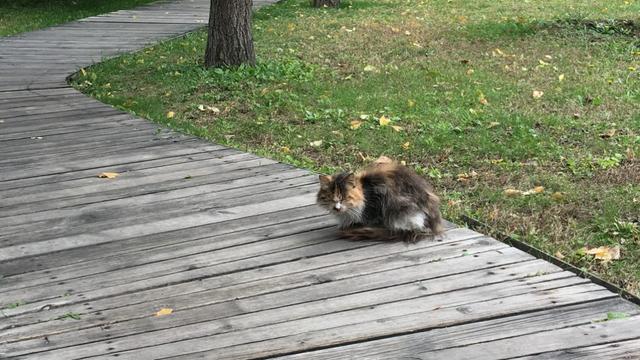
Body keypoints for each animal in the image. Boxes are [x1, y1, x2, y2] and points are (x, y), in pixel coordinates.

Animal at [316, 157, 444, 243]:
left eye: (345, 198)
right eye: (330, 198)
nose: (336, 208)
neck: (365, 193)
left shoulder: (375, 207)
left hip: (395, 206)